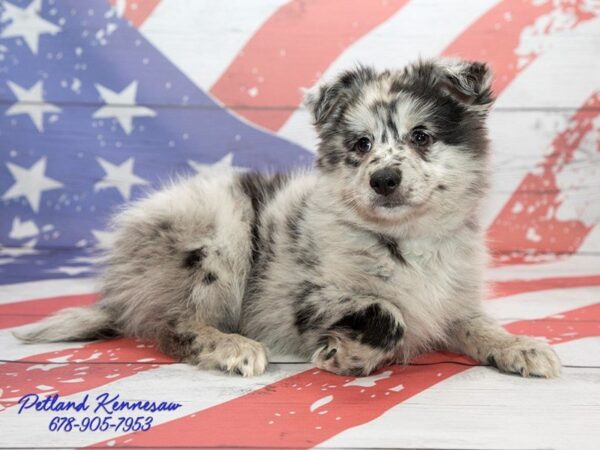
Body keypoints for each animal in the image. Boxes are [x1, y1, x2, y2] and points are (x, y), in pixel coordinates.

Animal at [17, 58, 564, 378]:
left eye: (421, 137)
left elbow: (479, 326)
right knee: (175, 326)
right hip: (219, 232)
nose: (383, 179)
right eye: (361, 145)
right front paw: (347, 356)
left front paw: (519, 346)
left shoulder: (453, 303)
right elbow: (390, 316)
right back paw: (233, 347)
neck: (408, 241)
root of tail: (122, 284)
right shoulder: (308, 298)